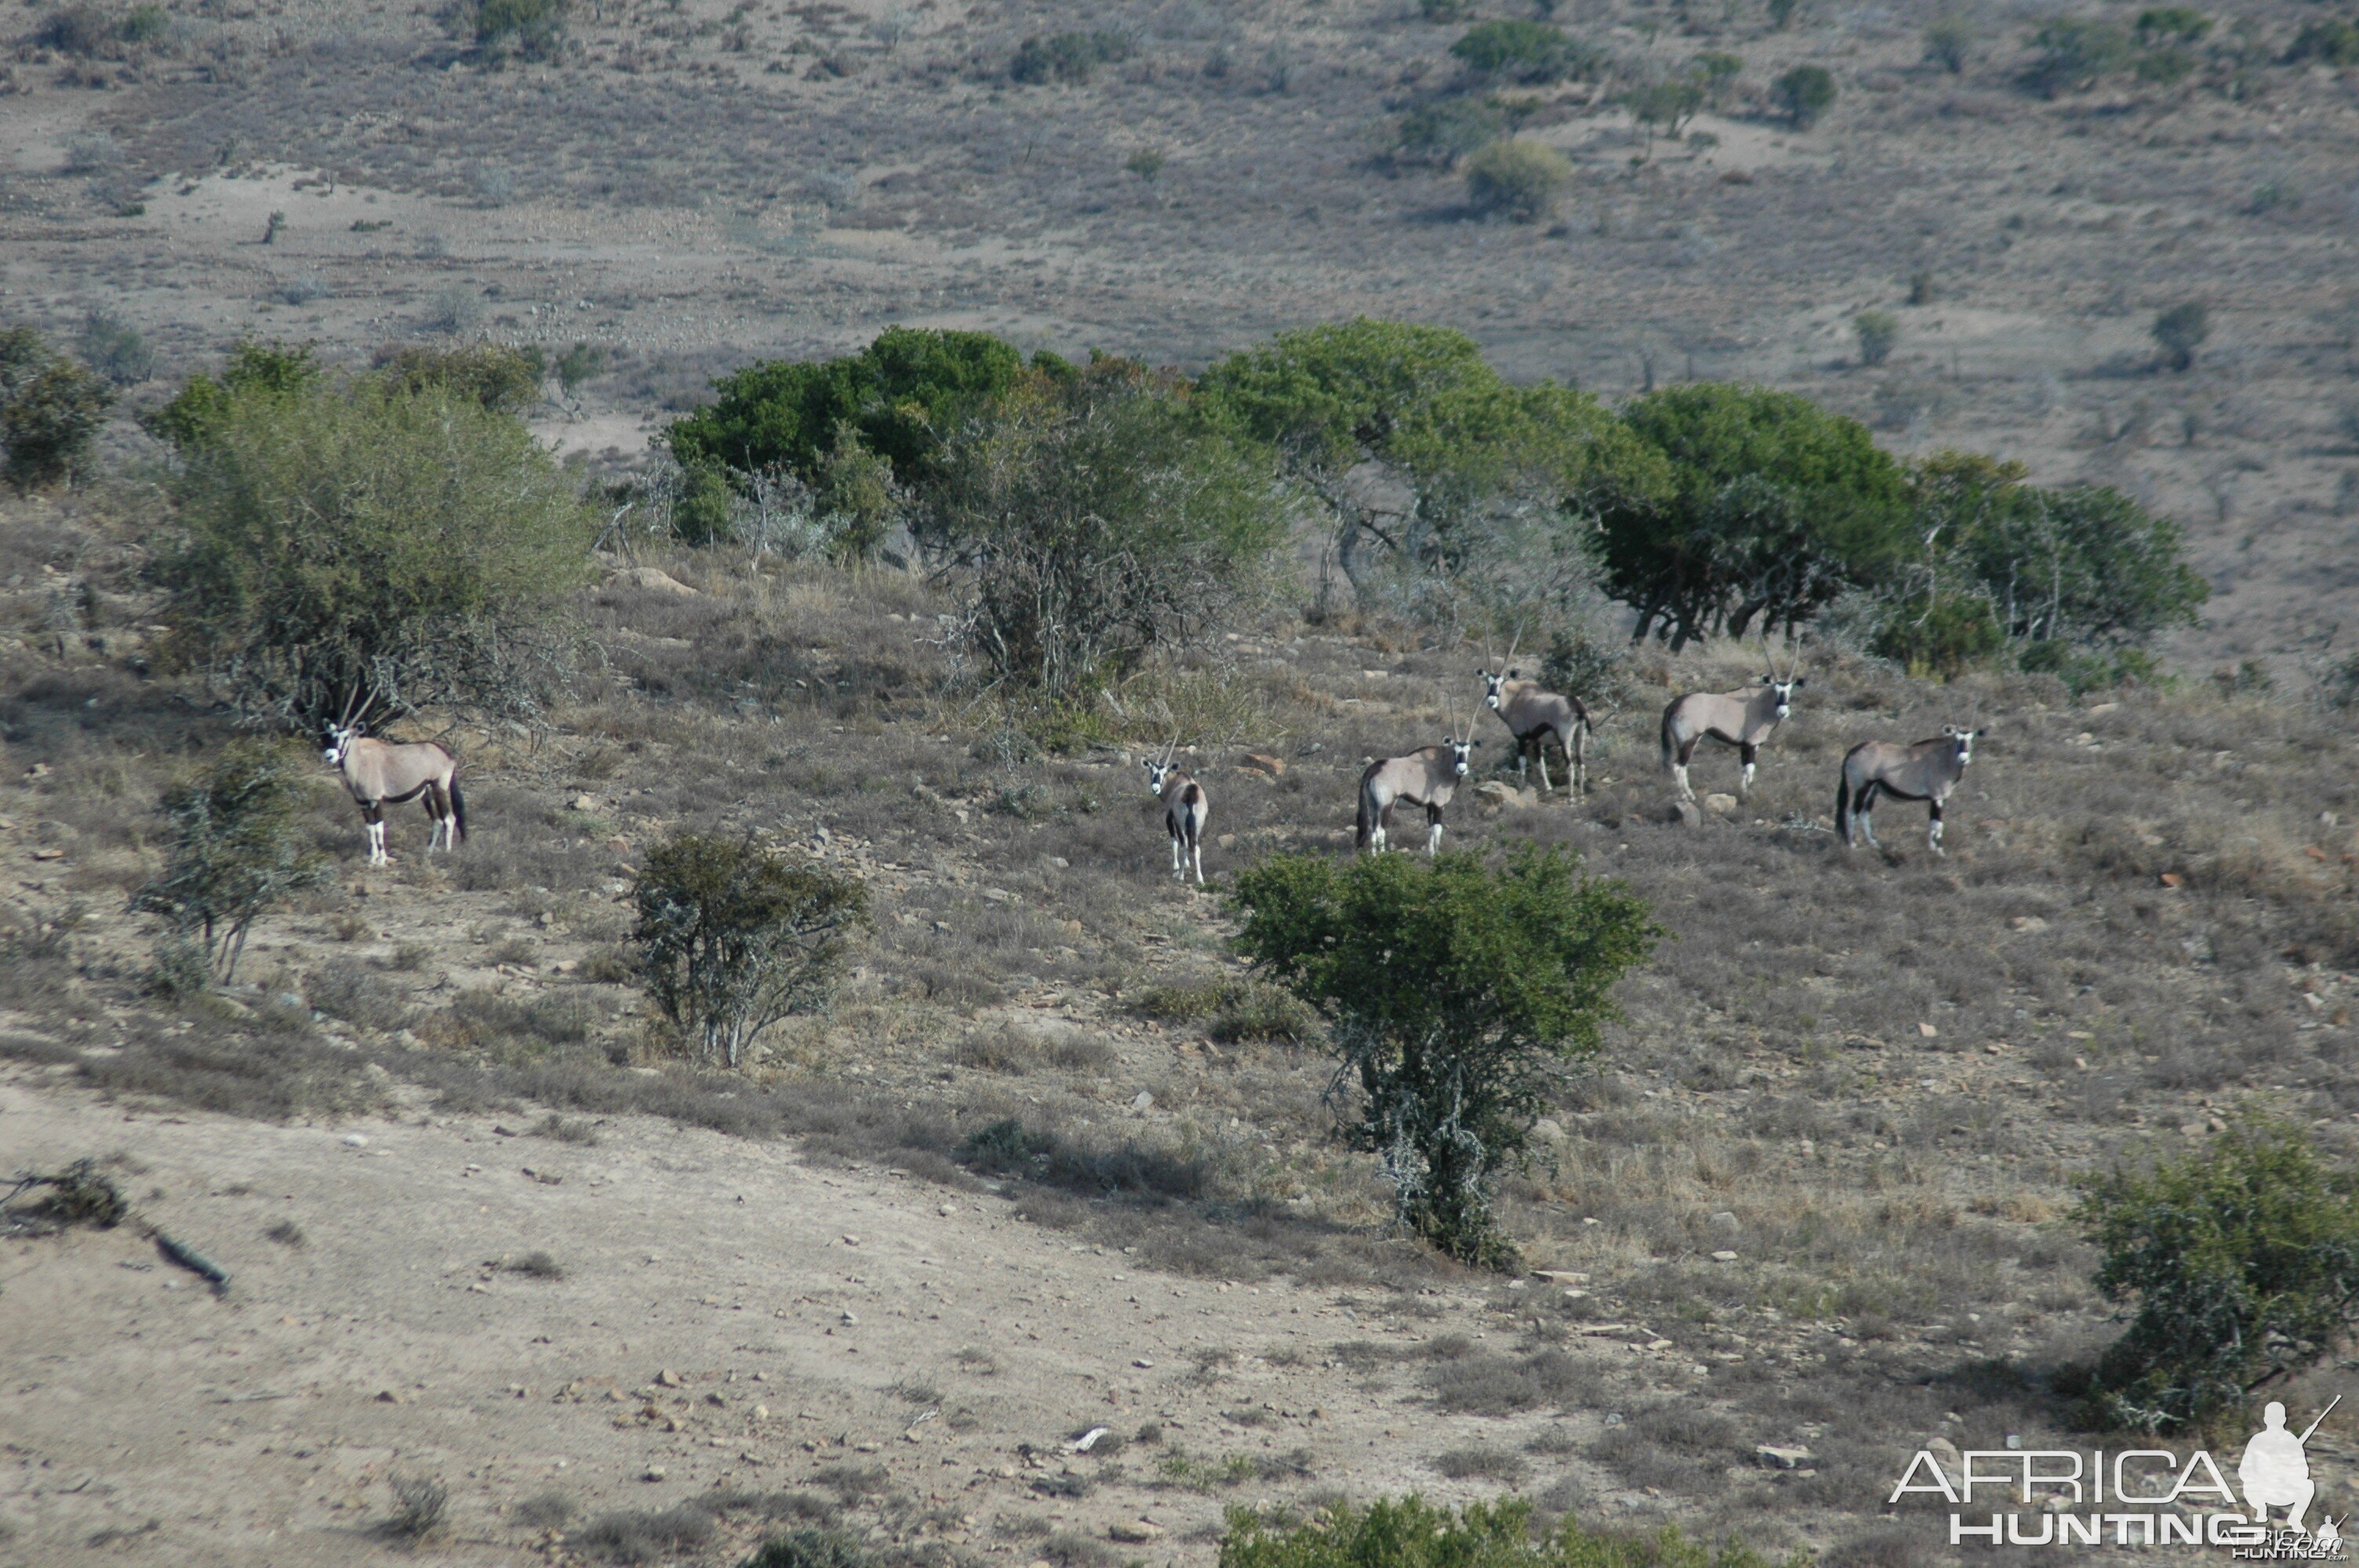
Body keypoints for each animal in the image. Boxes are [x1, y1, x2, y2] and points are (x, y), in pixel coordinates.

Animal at [325, 717, 467, 872]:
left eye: (347, 737)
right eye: (332, 736)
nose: (330, 755)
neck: (361, 760)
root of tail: (448, 757)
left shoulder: (376, 801)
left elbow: (379, 828)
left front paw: (381, 860)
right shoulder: (363, 803)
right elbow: (370, 829)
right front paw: (372, 859)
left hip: (439, 789)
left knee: (449, 819)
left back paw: (447, 854)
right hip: (427, 795)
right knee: (437, 821)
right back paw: (428, 853)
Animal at [1146, 735, 1217, 881]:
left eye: (1165, 773)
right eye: (1152, 771)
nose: (1155, 789)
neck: (1176, 781)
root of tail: (1191, 793)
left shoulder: (1170, 818)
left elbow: (1174, 841)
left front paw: (1177, 866)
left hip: (1180, 823)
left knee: (1184, 845)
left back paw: (1180, 876)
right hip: (1198, 825)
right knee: (1195, 846)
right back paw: (1200, 879)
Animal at [1358, 698, 1481, 858]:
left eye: (1469, 751)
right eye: (1455, 750)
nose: (1462, 769)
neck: (1441, 764)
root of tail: (1373, 769)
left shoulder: (1429, 805)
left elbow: (1430, 829)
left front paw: (1431, 854)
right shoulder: (1439, 805)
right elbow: (1437, 830)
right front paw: (1437, 856)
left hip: (1373, 804)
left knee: (1373, 829)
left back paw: (1373, 857)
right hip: (1387, 804)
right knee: (1380, 830)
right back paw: (1383, 856)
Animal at [1660, 641, 1802, 801]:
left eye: (1790, 691)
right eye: (1776, 690)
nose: (1783, 712)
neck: (1760, 704)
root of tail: (1674, 704)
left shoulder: (1745, 746)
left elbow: (1744, 769)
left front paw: (1743, 792)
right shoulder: (1751, 744)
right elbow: (1750, 769)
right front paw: (1748, 796)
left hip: (1682, 743)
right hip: (1689, 741)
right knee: (1679, 766)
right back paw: (1688, 796)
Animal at [1830, 726, 1981, 848]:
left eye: (1972, 740)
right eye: (1957, 739)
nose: (1963, 759)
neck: (1943, 757)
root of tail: (1853, 751)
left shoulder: (1939, 799)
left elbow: (1934, 824)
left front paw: (1933, 849)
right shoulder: (1937, 798)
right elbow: (1938, 824)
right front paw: (1938, 853)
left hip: (1874, 790)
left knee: (1865, 814)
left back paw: (1875, 844)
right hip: (1863, 787)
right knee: (1852, 813)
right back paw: (1852, 845)